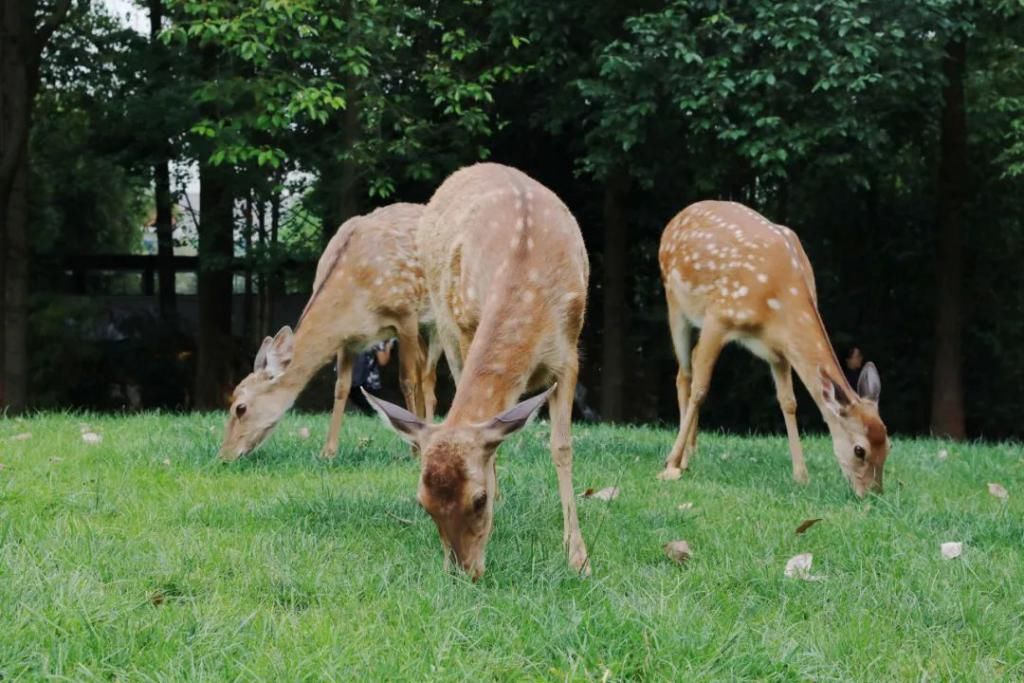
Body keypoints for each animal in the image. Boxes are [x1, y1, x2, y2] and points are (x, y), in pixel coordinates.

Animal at [216, 200, 440, 462]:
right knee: (426, 368)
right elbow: (341, 387)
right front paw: (328, 451)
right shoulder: (349, 339)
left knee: (429, 375)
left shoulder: (405, 314)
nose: (224, 455)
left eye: (240, 408)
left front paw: (414, 450)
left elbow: (407, 380)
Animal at [366, 162, 593, 581]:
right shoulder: (467, 326)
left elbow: (562, 447)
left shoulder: (569, 355)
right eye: (423, 503)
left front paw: (578, 557)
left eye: (478, 499)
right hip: (444, 321)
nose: (462, 572)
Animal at [655, 201, 888, 497]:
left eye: (888, 444)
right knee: (684, 374)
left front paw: (801, 476)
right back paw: (680, 459)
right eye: (860, 450)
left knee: (693, 362)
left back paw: (692, 451)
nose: (873, 493)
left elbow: (788, 402)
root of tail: (678, 217)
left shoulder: (779, 349)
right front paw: (670, 463)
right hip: (675, 300)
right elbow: (701, 389)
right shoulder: (719, 316)